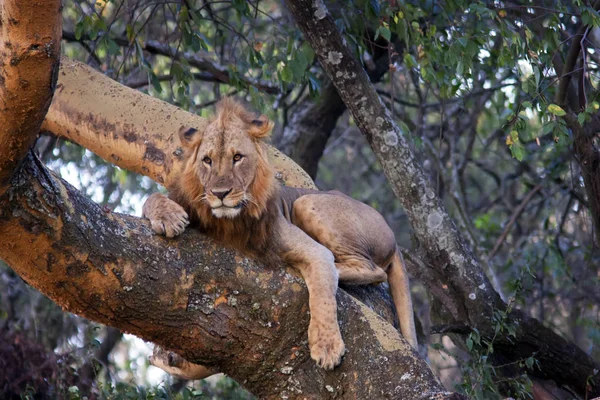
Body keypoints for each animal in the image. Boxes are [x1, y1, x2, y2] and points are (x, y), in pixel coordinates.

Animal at [144, 97, 418, 376]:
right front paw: (169, 217)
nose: (220, 193)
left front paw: (327, 346)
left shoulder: (314, 251)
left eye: (237, 157)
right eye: (207, 160)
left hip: (307, 202)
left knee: (373, 270)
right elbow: (151, 198)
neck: (229, 222)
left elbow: (322, 292)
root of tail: (394, 238)